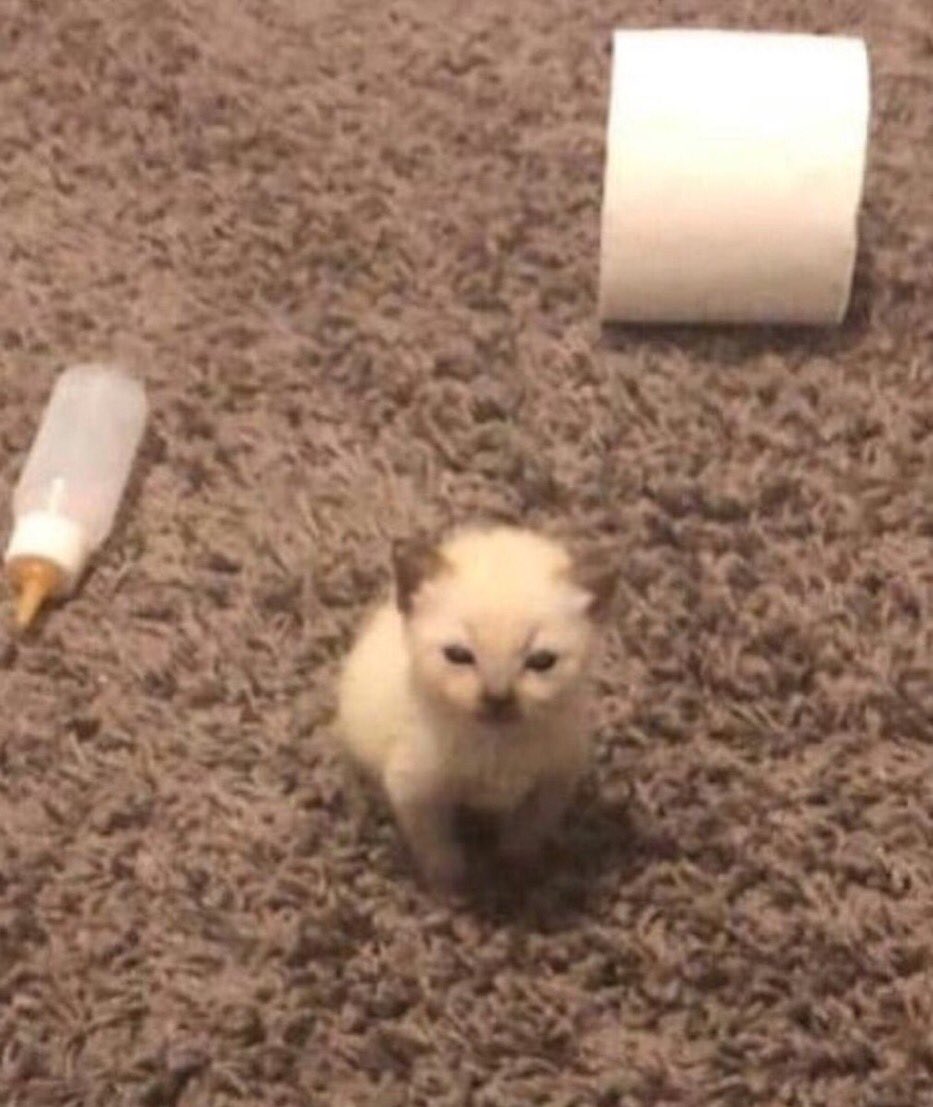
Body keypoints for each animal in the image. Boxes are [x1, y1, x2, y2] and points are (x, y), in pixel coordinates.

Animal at [336, 522, 619, 894]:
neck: (495, 747)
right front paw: (451, 889)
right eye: (459, 655)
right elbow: (437, 847)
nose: (497, 698)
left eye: (542, 661)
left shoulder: (554, 780)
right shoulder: (415, 793)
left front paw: (514, 873)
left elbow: (527, 833)